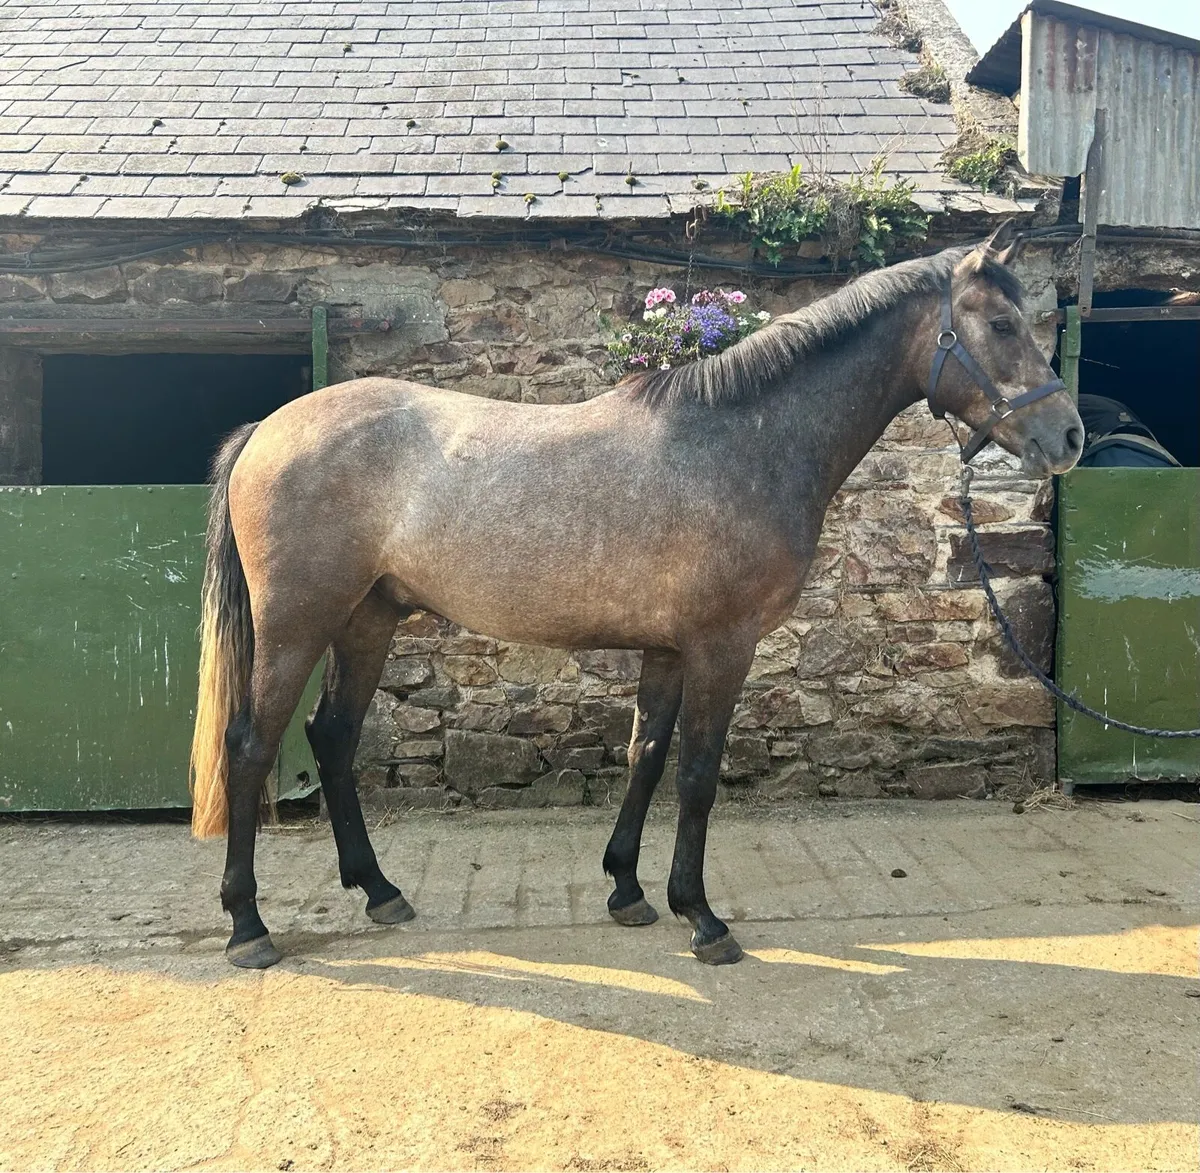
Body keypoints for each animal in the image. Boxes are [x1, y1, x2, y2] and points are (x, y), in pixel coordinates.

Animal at [189, 221, 1082, 969]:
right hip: (297, 624)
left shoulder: (669, 649)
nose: (1069, 436)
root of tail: (267, 430)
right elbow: (698, 772)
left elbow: (645, 756)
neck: (742, 441)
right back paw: (248, 926)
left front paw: (628, 888)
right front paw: (704, 918)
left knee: (333, 737)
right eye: (1002, 326)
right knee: (251, 745)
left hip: (367, 620)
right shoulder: (723, 644)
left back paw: (380, 891)